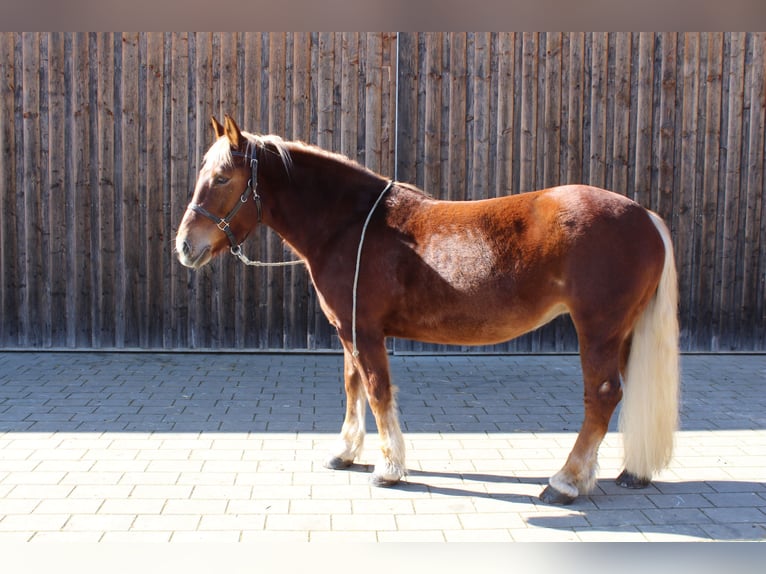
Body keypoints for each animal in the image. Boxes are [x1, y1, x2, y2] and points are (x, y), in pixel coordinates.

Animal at [177, 115, 680, 506]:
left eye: (222, 178)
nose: (185, 246)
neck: (349, 226)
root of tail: (645, 216)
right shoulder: (348, 330)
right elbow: (352, 386)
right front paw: (345, 453)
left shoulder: (365, 332)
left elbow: (377, 391)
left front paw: (389, 468)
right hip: (622, 333)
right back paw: (622, 473)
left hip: (597, 330)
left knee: (602, 396)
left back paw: (565, 482)